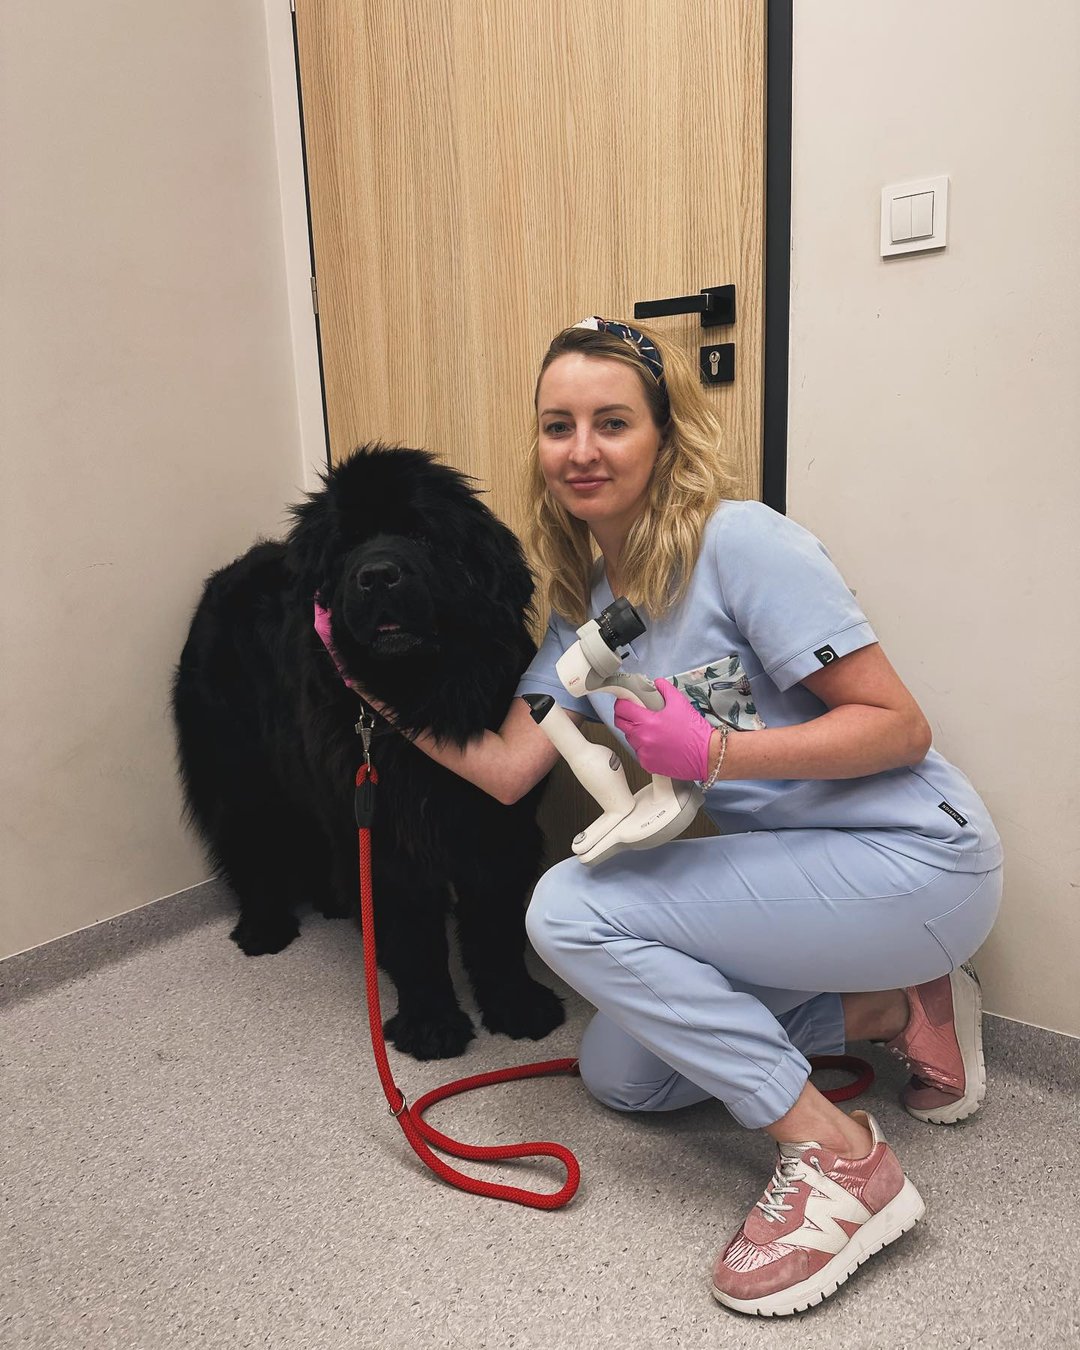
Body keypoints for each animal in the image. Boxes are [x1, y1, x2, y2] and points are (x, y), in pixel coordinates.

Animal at [172, 444, 565, 1059]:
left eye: (421, 534)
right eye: (347, 546)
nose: (377, 575)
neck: (416, 693)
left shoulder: (495, 823)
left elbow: (495, 927)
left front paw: (515, 1004)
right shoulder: (387, 837)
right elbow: (410, 933)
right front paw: (430, 1023)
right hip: (242, 773)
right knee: (251, 845)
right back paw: (264, 927)